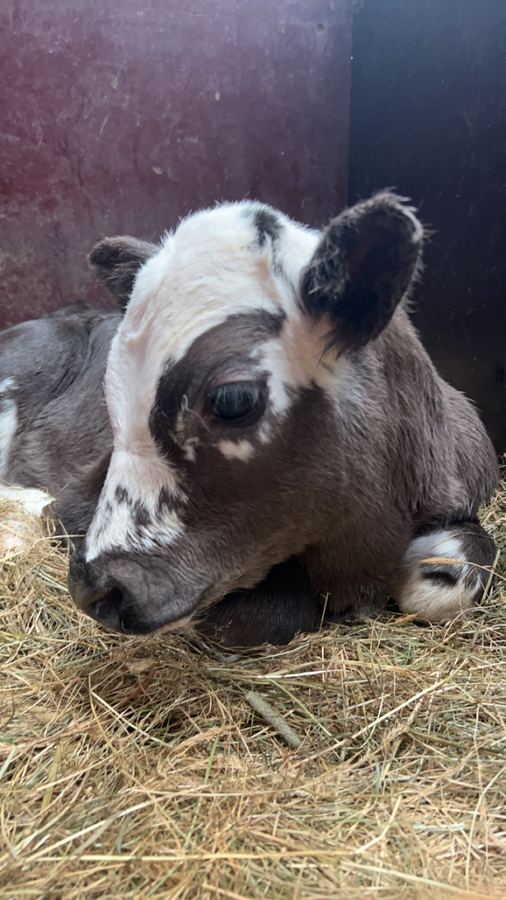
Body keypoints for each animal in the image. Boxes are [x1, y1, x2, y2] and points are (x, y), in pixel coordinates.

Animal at [0, 192, 499, 647]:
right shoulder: (77, 501)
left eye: (233, 400)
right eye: (112, 386)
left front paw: (434, 571)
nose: (95, 589)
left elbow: (477, 552)